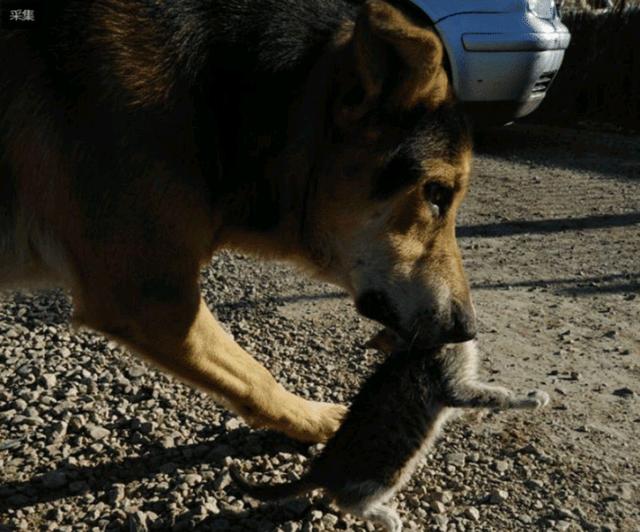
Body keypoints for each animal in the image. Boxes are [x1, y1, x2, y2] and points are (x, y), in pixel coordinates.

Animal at [230, 342, 552, 528]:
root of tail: (323, 468)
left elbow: (478, 401)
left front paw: (485, 413)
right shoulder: (450, 382)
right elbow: (494, 395)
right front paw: (529, 399)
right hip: (389, 468)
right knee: (348, 502)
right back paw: (387, 517)